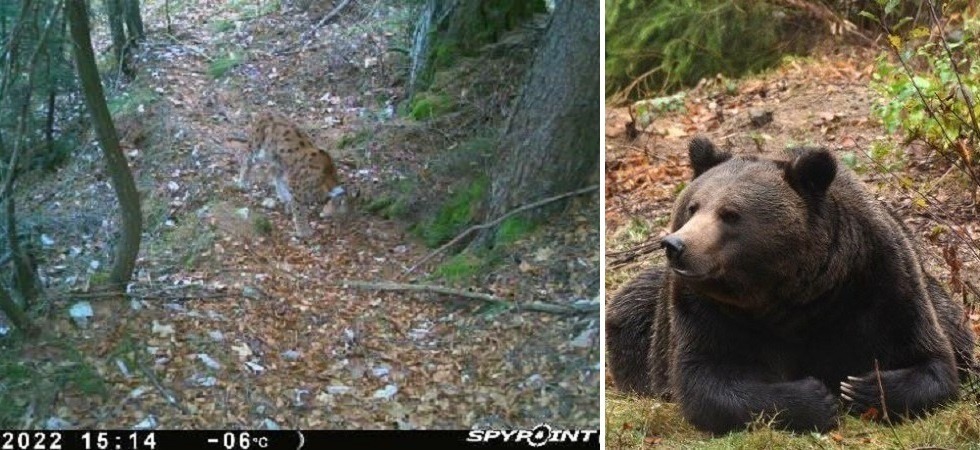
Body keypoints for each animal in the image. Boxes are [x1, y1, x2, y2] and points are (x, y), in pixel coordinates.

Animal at [606, 137, 977, 434]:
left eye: (730, 214)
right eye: (693, 206)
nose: (676, 245)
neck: (790, 295)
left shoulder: (878, 283)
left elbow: (932, 360)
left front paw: (862, 388)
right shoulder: (704, 310)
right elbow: (706, 381)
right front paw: (817, 396)